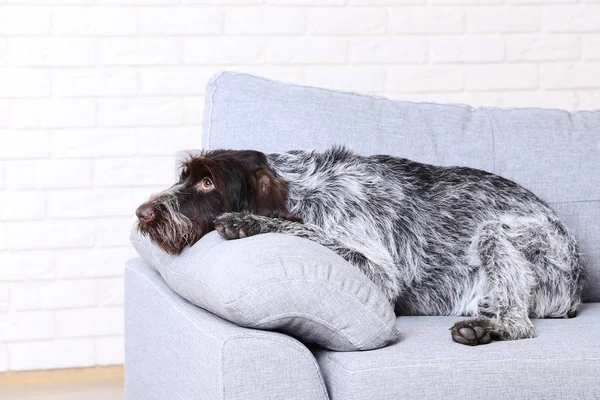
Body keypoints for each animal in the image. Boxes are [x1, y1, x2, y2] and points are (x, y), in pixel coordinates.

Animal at [136, 147, 580, 346]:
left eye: (207, 181)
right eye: (184, 176)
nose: (142, 212)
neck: (305, 190)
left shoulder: (379, 272)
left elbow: (312, 234)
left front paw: (250, 222)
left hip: (494, 233)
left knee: (521, 324)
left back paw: (489, 329)